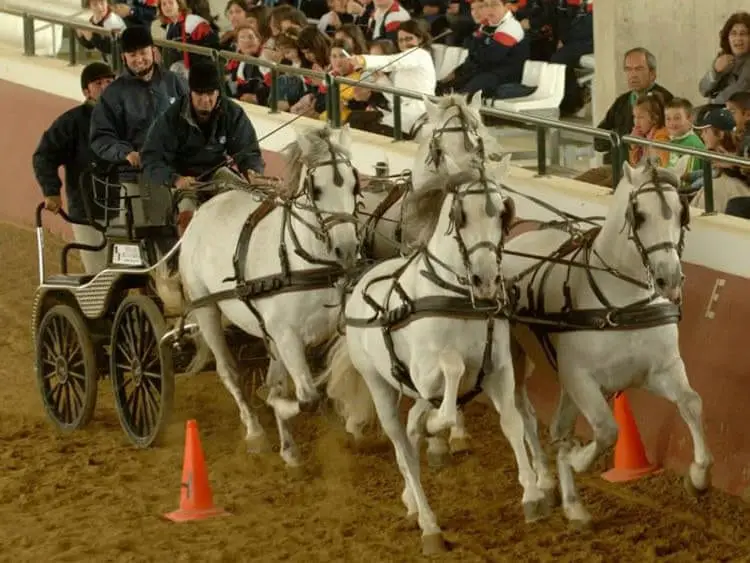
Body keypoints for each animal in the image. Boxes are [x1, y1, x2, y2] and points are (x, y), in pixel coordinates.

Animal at [178, 124, 362, 458]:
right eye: (316, 189)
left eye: (355, 186)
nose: (347, 249)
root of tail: (203, 209)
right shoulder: (287, 335)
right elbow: (305, 398)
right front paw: (275, 403)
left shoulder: (333, 327)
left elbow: (345, 373)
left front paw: (352, 422)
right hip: (206, 307)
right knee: (229, 371)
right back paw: (255, 431)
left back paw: (288, 447)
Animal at [324, 155, 552, 556]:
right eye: (460, 215)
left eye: (503, 212)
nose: (485, 280)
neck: (457, 300)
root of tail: (358, 286)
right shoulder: (426, 371)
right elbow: (452, 367)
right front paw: (437, 428)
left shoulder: (499, 370)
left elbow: (512, 422)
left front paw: (533, 496)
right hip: (380, 386)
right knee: (402, 449)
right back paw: (428, 523)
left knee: (412, 434)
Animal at [502, 160, 712, 528]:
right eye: (638, 214)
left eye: (681, 213)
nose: (669, 279)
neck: (624, 302)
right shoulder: (581, 378)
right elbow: (606, 431)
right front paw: (575, 460)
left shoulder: (657, 371)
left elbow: (691, 402)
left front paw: (698, 477)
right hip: (517, 361)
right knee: (523, 416)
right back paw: (542, 483)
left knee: (556, 426)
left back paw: (572, 504)